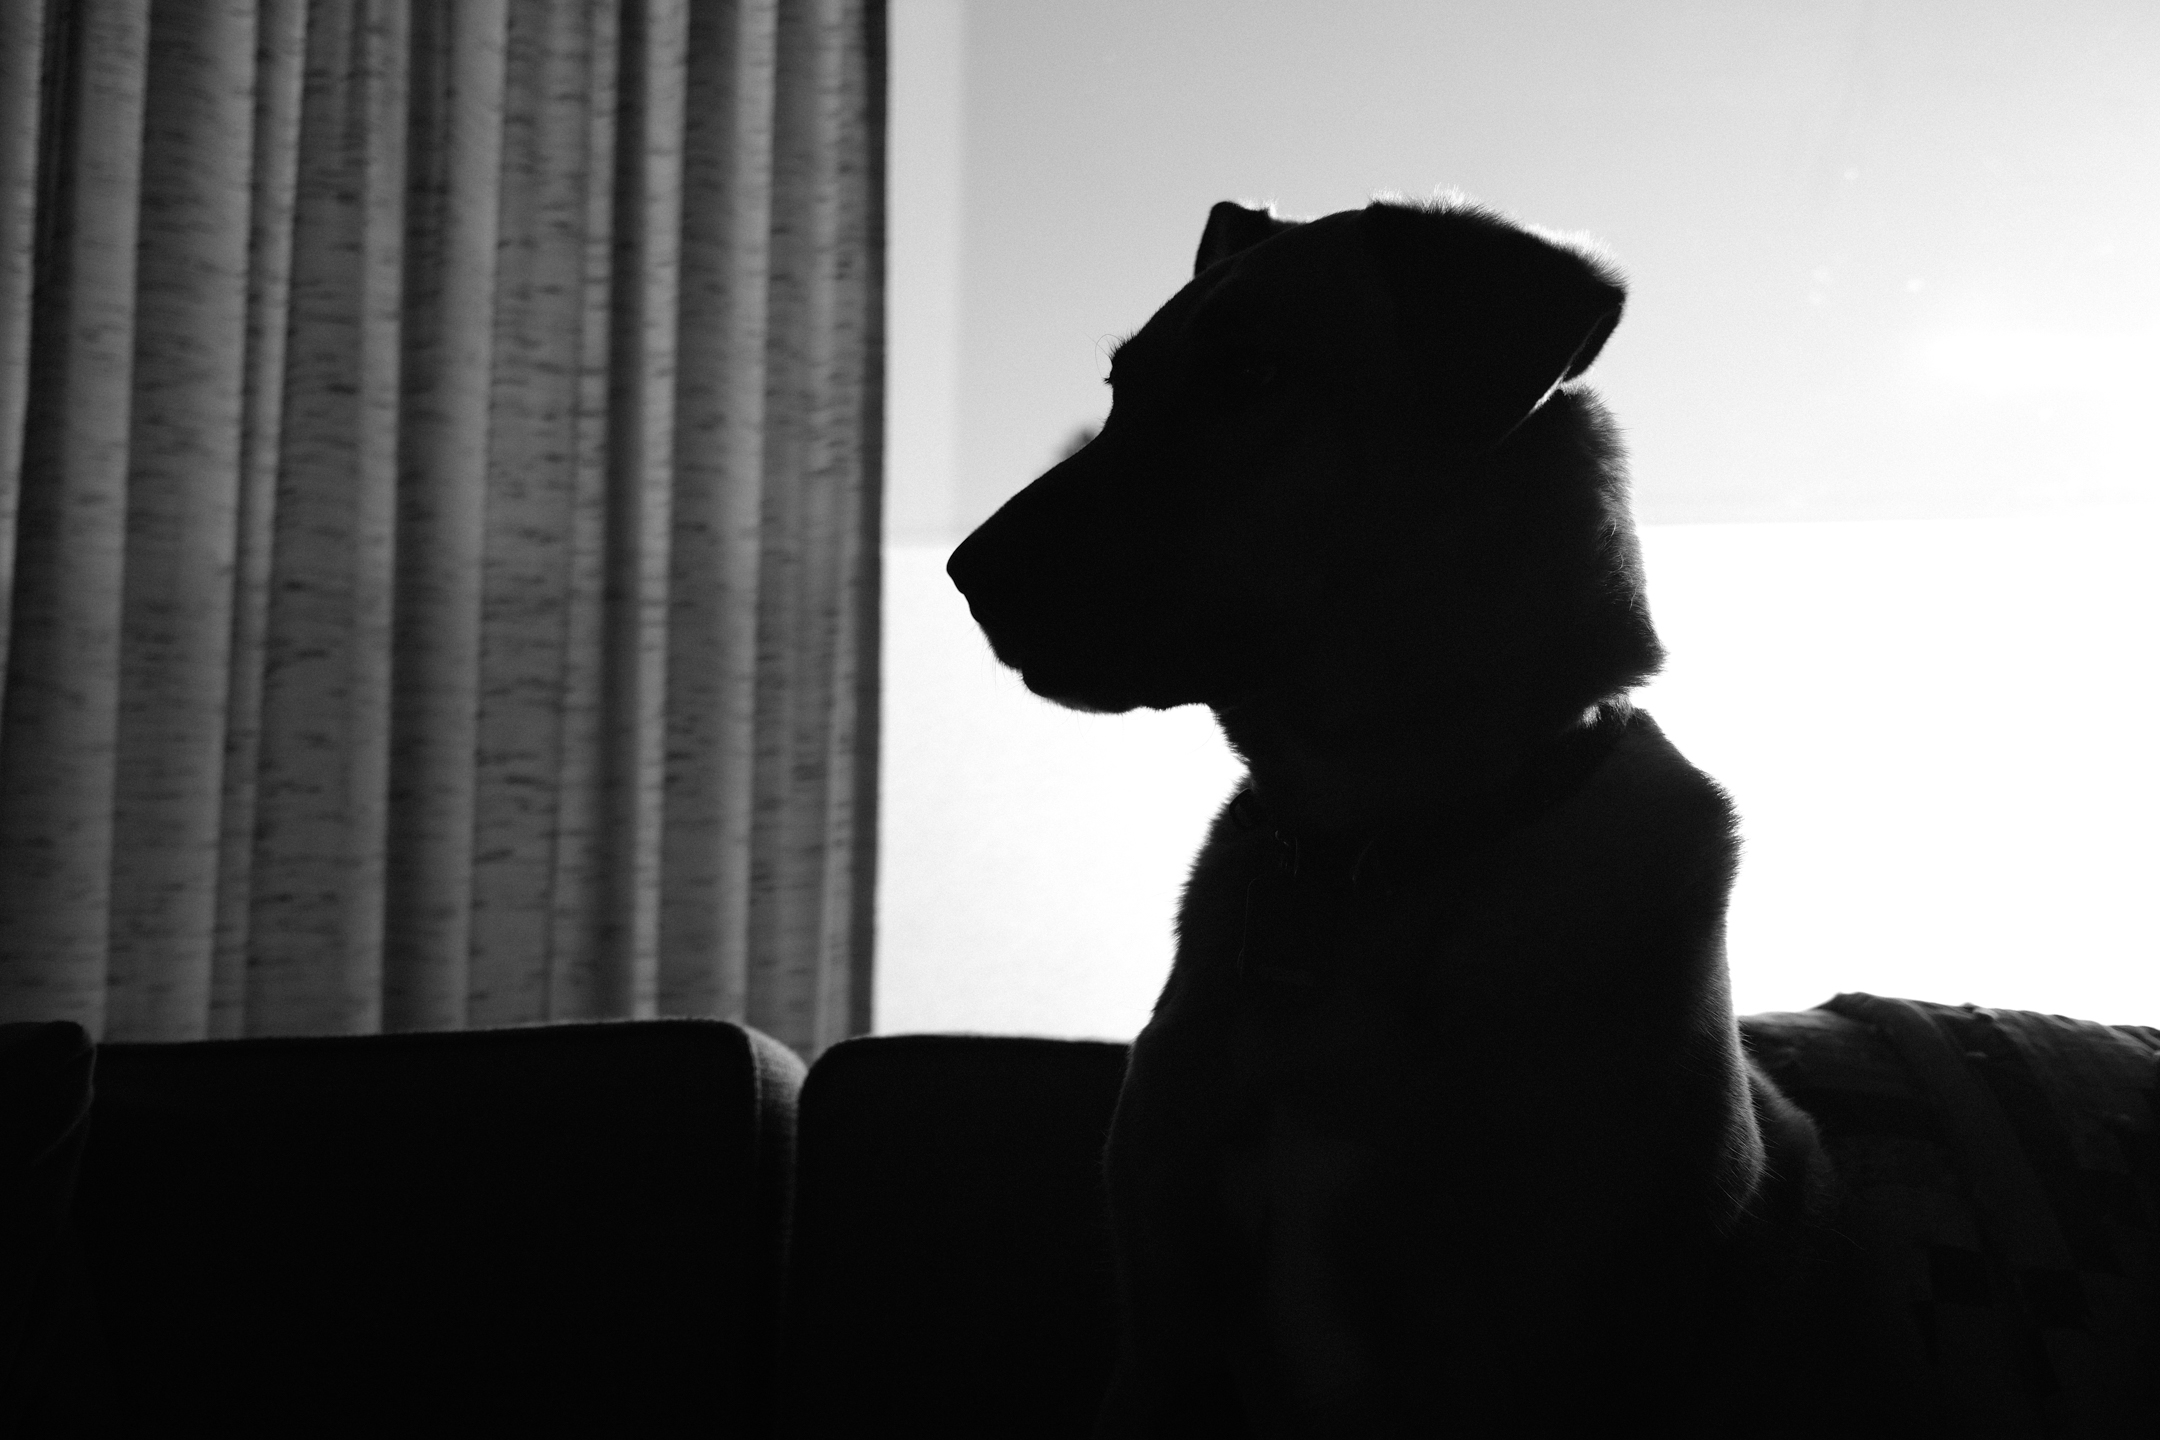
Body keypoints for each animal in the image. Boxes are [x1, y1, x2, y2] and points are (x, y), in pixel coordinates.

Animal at [947, 198, 1912, 1437]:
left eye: (1252, 375)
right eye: (1123, 389)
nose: (966, 573)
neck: (1366, 848)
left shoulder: (1520, 1354)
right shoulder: (1161, 1334)